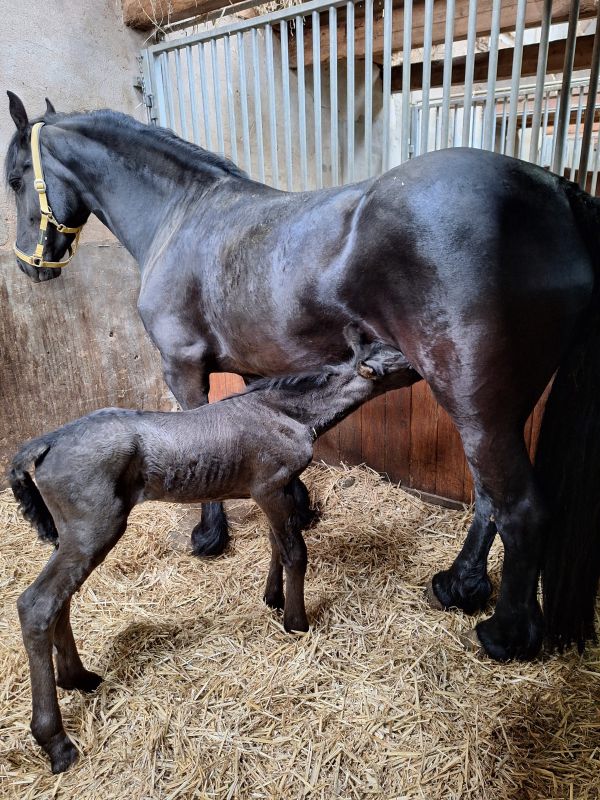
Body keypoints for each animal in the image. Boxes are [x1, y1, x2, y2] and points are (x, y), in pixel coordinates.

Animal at [5, 93, 600, 666]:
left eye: (14, 178)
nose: (32, 266)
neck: (182, 217)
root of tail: (556, 189)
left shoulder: (183, 366)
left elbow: (197, 431)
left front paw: (210, 537)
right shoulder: (255, 368)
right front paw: (300, 506)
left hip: (474, 403)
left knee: (520, 508)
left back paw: (505, 634)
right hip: (491, 407)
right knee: (487, 496)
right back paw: (460, 584)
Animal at [10, 325, 413, 773]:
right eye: (399, 358)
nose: (428, 367)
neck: (289, 414)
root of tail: (43, 445)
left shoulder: (269, 492)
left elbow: (276, 543)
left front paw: (272, 598)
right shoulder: (270, 486)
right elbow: (295, 552)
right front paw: (296, 621)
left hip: (72, 536)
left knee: (59, 601)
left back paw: (78, 678)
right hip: (93, 529)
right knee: (38, 604)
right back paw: (57, 741)